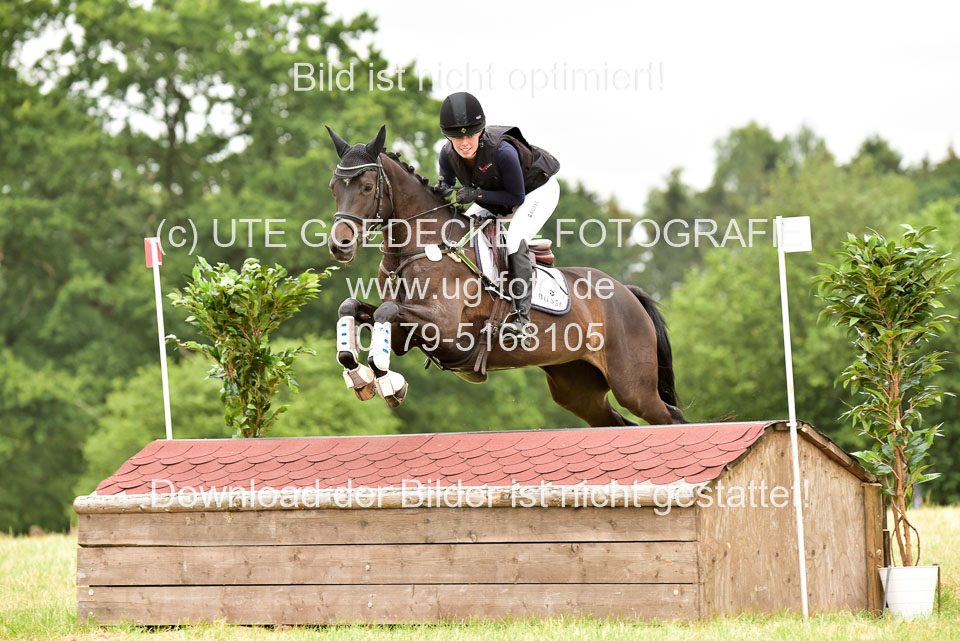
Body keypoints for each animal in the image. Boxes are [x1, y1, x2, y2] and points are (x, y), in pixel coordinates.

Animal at [325, 125, 685, 427]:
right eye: (333, 188)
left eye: (367, 187)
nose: (339, 246)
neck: (421, 246)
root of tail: (627, 293)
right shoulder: (407, 334)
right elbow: (352, 307)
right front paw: (359, 374)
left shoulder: (444, 328)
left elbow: (385, 312)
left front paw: (388, 383)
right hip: (577, 387)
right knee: (618, 422)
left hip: (633, 385)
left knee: (670, 417)